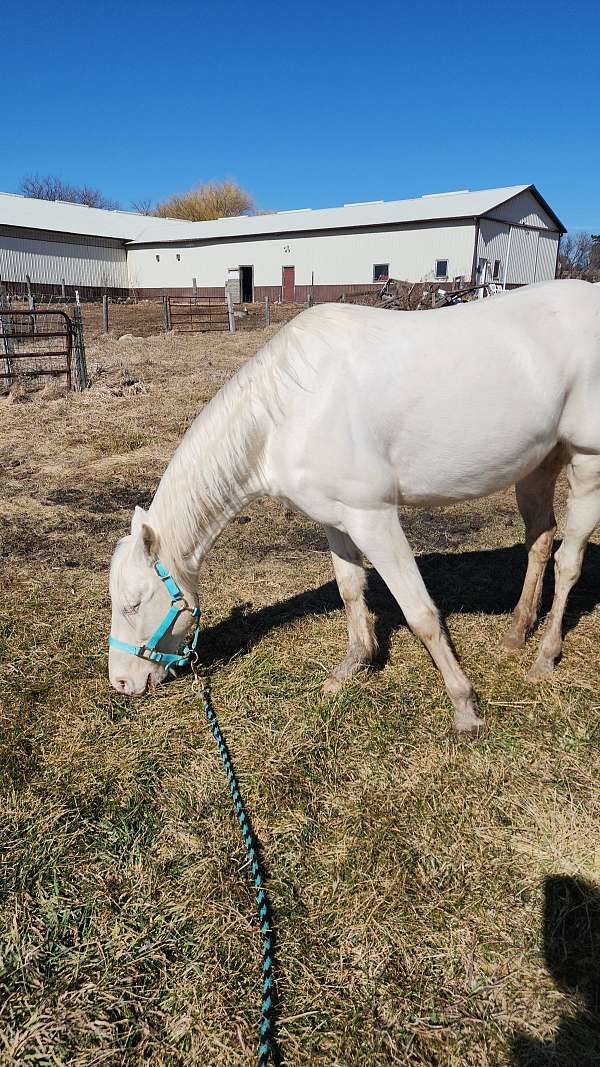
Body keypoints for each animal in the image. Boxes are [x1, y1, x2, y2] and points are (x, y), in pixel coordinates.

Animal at [108, 280, 600, 735]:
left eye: (133, 604)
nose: (121, 683)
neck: (285, 413)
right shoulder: (337, 519)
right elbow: (349, 589)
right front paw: (353, 666)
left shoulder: (373, 518)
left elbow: (420, 613)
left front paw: (464, 707)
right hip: (537, 466)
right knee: (540, 542)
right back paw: (517, 633)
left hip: (587, 465)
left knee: (568, 562)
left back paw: (544, 658)